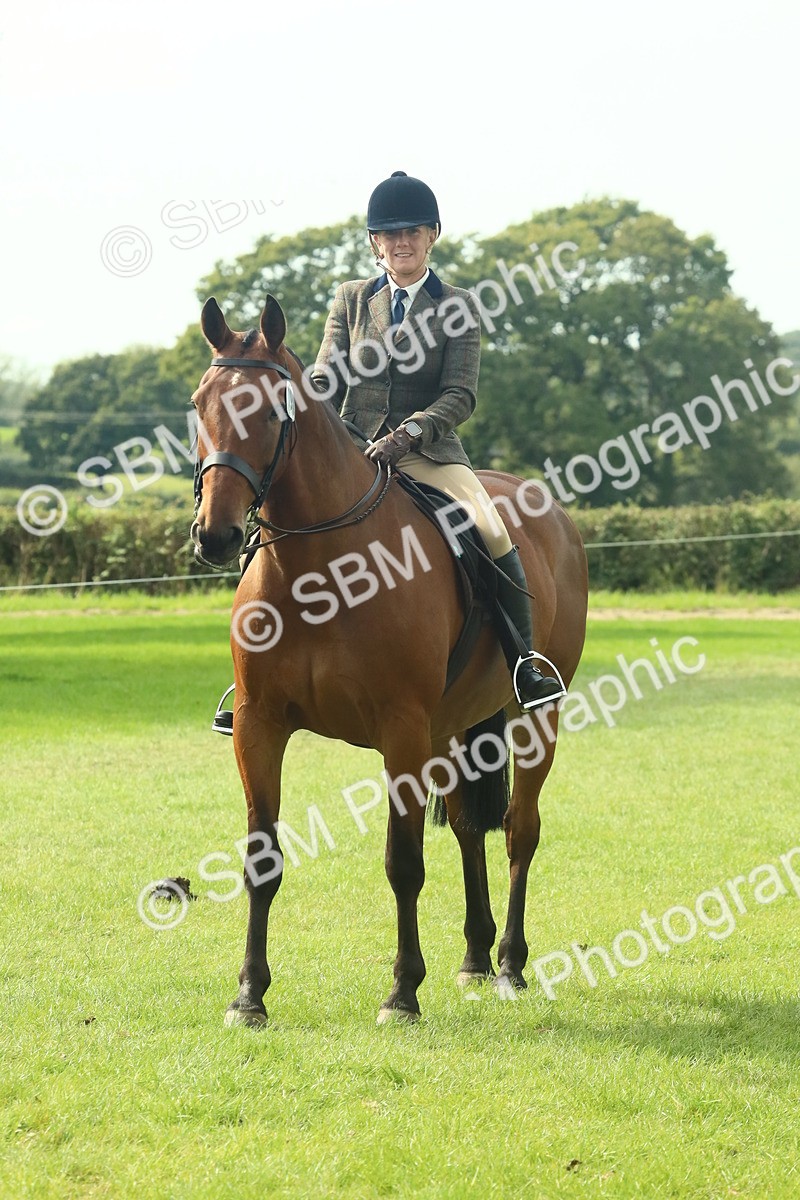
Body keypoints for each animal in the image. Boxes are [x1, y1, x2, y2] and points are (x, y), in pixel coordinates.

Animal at [190, 294, 588, 1027]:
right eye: (199, 404)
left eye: (272, 410)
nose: (217, 535)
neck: (318, 571)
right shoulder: (259, 725)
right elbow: (262, 859)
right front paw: (249, 995)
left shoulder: (401, 730)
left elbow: (403, 862)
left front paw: (402, 993)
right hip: (455, 725)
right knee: (468, 826)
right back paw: (474, 957)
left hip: (532, 717)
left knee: (518, 830)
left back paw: (510, 965)